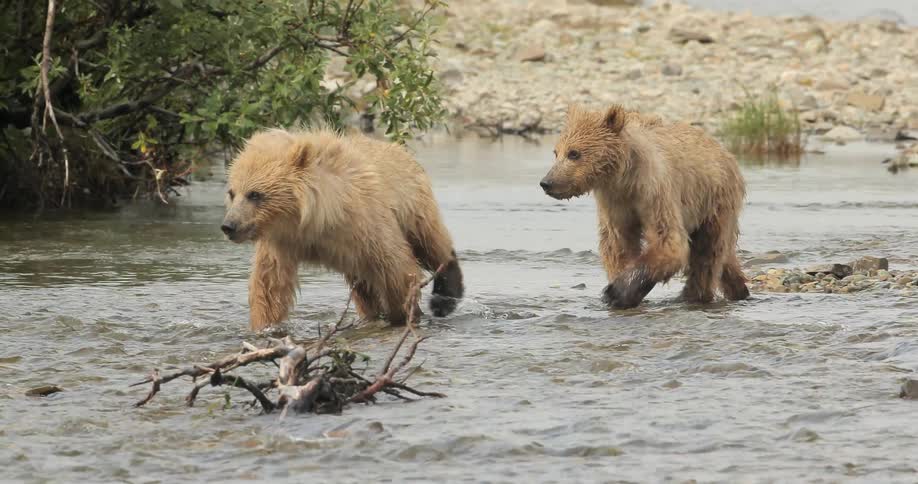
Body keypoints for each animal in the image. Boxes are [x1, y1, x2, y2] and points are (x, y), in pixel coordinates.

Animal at [221, 127, 464, 330]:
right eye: (232, 193)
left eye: (255, 194)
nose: (229, 226)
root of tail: (398, 148)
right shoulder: (282, 242)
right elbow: (269, 284)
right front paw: (263, 327)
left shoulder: (366, 224)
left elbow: (396, 268)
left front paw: (404, 315)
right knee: (364, 288)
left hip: (412, 204)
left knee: (431, 242)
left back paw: (445, 297)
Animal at [539, 104, 750, 309]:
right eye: (556, 152)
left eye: (574, 153)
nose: (547, 182)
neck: (622, 179)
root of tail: (723, 150)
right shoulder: (615, 204)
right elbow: (618, 245)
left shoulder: (653, 192)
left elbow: (668, 241)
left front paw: (617, 293)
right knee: (724, 256)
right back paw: (739, 289)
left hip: (714, 201)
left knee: (707, 253)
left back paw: (692, 296)